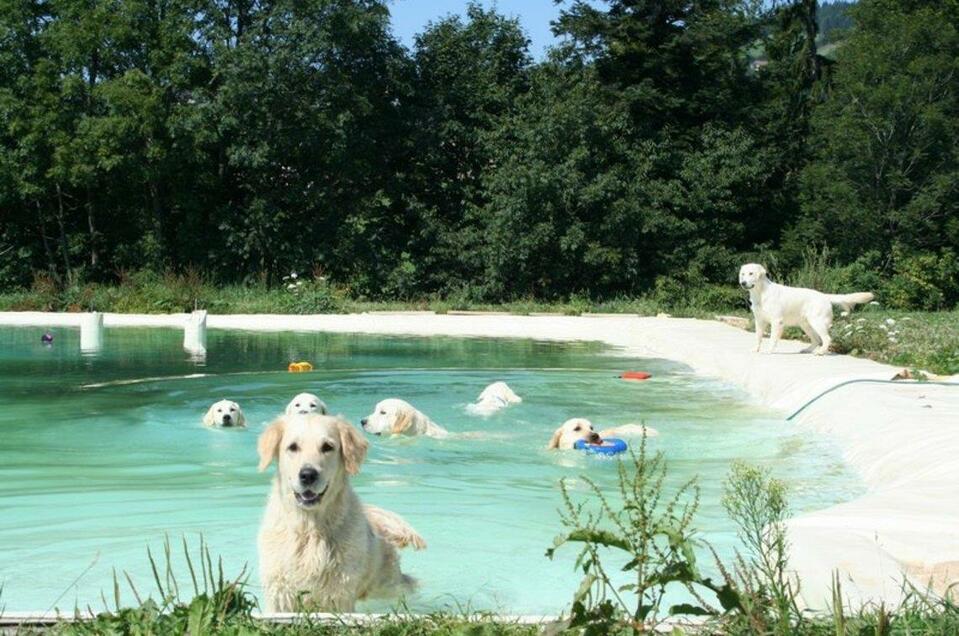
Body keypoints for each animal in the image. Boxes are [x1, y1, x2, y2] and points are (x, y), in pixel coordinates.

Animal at [744, 262, 876, 356]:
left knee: (826, 338)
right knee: (817, 340)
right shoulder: (759, 321)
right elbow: (758, 337)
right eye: (743, 274)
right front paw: (755, 349)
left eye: (751, 273)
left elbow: (772, 339)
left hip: (817, 322)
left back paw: (820, 352)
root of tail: (824, 296)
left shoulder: (777, 321)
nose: (743, 283)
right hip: (806, 325)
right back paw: (808, 350)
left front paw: (769, 351)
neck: (760, 293)